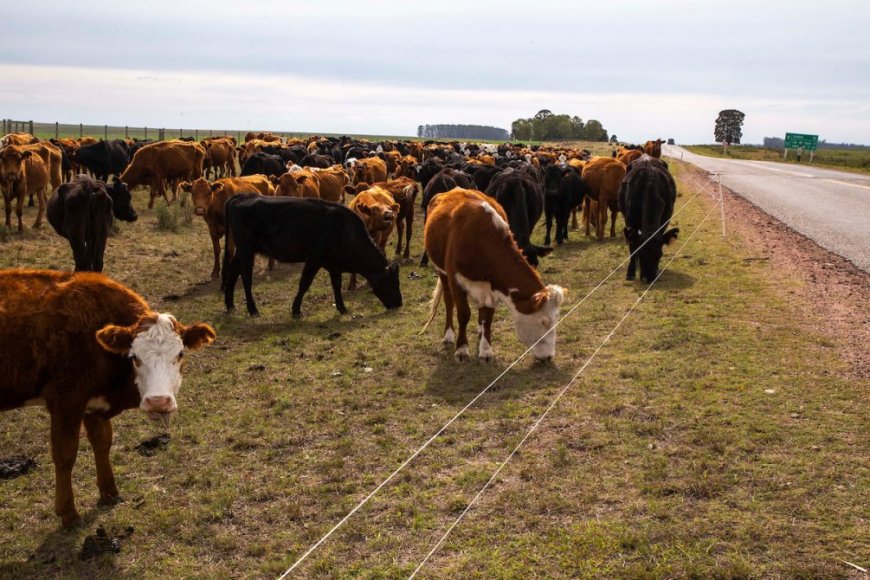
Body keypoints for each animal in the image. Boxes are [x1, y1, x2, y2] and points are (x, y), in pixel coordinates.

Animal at [0, 270, 216, 528]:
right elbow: (65, 455)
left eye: (180, 354)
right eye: (135, 357)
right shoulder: (65, 401)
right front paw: (68, 512)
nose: (158, 401)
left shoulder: (94, 405)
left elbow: (102, 443)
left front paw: (109, 492)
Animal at [223, 197, 404, 320]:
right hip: (246, 249)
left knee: (232, 273)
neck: (345, 231)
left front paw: (342, 308)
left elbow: (336, 286)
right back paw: (253, 310)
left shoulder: (334, 265)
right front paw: (296, 311)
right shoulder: (314, 259)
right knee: (246, 277)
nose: (399, 303)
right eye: (393, 282)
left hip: (243, 251)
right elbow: (304, 283)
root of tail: (241, 198)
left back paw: (230, 305)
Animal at [420, 189, 564, 362]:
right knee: (449, 301)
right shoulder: (456, 280)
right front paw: (462, 349)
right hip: (441, 271)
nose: (549, 356)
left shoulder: (493, 286)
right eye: (543, 322)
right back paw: (448, 335)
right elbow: (463, 314)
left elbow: (487, 317)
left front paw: (486, 350)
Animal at [620, 153, 680, 282]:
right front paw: (630, 272)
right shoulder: (630, 221)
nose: (648, 278)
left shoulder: (665, 220)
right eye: (641, 254)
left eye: (659, 255)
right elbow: (633, 247)